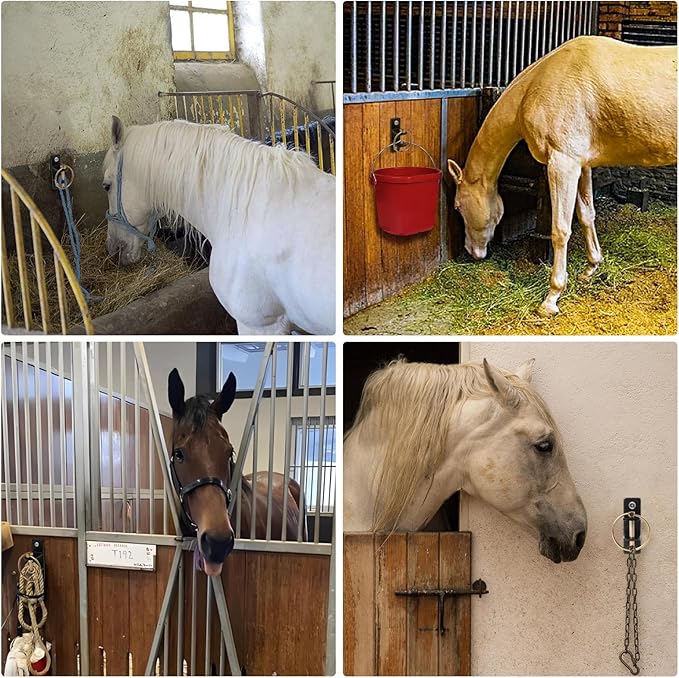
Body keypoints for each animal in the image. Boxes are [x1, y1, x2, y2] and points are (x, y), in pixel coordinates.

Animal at [448, 36, 677, 316]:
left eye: (458, 207)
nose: (472, 251)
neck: (538, 84)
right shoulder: (581, 164)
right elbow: (587, 215)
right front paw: (591, 268)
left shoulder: (562, 163)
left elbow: (560, 230)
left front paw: (552, 298)